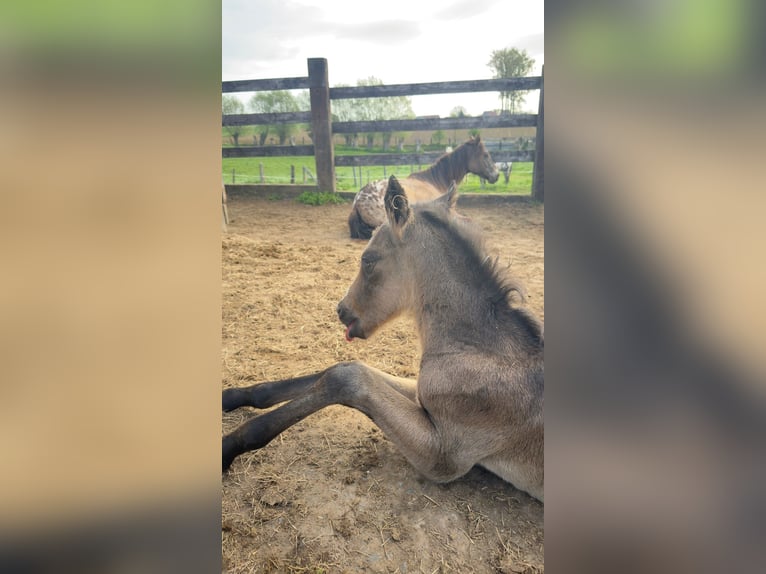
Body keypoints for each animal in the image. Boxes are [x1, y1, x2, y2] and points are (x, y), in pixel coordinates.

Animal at [222, 175, 544, 502]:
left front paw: (229, 446)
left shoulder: (443, 457)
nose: (342, 310)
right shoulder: (420, 395)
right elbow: (342, 368)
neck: (477, 349)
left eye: (368, 259)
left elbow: (347, 377)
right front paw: (232, 396)